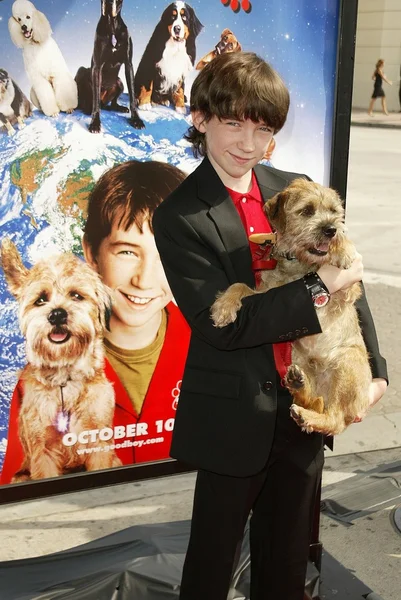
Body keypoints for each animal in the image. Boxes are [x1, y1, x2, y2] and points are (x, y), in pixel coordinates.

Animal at [75, 0, 144, 132]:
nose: (109, 2)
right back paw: (86, 108)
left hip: (119, 82)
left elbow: (132, 96)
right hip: (81, 70)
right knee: (87, 102)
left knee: (112, 103)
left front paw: (136, 120)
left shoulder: (129, 64)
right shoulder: (97, 66)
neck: (112, 25)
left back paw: (119, 108)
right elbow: (95, 100)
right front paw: (95, 123)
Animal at [211, 178, 370, 436]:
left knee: (335, 420)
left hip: (346, 364)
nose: (331, 230)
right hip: (299, 358)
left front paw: (342, 248)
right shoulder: (265, 294)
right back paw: (299, 387)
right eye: (307, 211)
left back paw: (307, 414)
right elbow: (239, 285)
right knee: (314, 403)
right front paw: (223, 306)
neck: (300, 265)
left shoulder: (349, 290)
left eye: (334, 212)